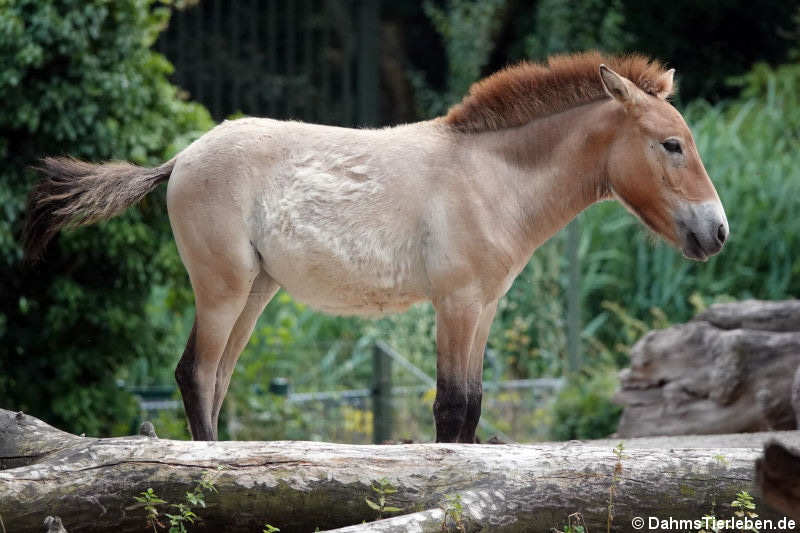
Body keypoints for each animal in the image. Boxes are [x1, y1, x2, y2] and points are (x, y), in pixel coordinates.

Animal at [25, 53, 728, 440]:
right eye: (671, 144)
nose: (716, 231)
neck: (491, 177)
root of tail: (181, 158)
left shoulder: (483, 309)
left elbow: (473, 407)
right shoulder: (456, 305)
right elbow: (451, 409)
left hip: (255, 293)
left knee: (217, 379)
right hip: (222, 290)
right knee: (195, 374)